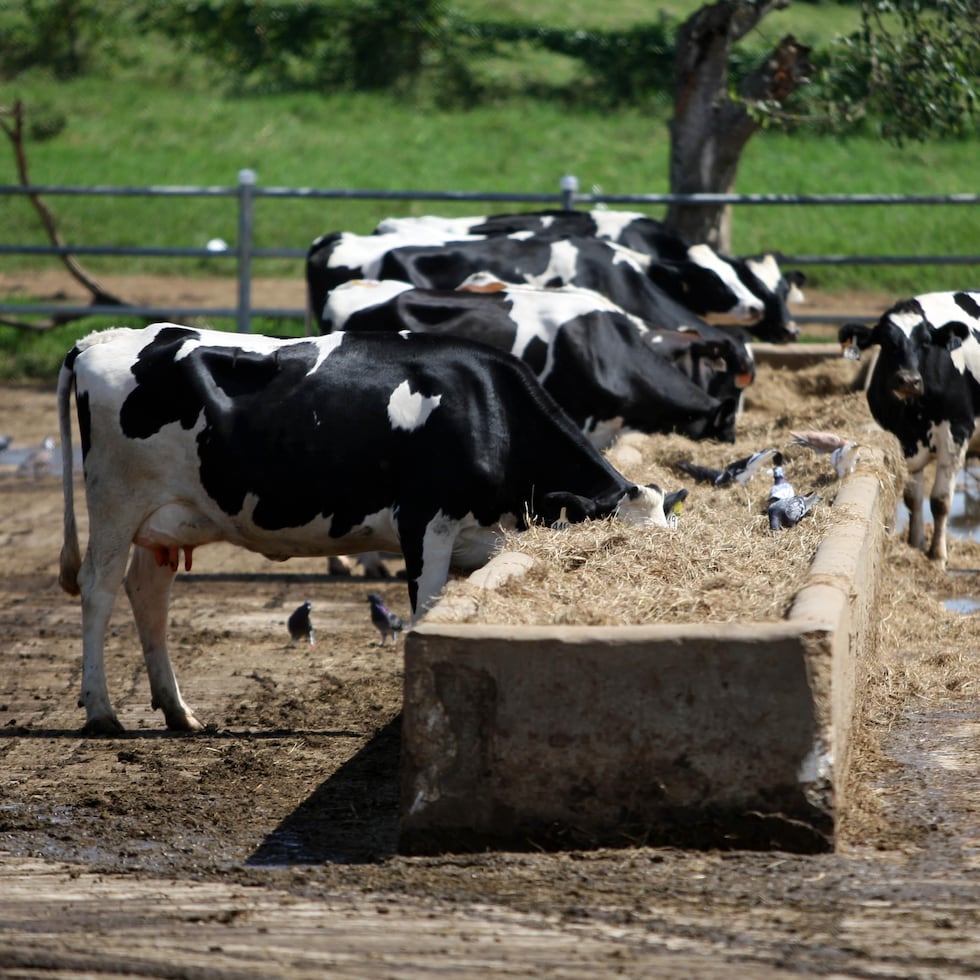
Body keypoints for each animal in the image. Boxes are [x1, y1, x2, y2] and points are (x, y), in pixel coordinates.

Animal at [55, 326, 668, 732]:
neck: (488, 406)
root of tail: (101, 340)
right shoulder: (425, 523)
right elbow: (423, 613)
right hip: (115, 501)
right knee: (98, 589)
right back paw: (102, 711)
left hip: (165, 518)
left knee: (147, 594)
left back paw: (178, 710)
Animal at [840, 290, 980, 568]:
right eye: (885, 341)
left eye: (925, 342)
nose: (908, 380)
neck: (914, 414)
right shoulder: (902, 439)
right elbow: (913, 498)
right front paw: (915, 543)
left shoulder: (957, 432)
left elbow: (939, 500)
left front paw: (937, 556)